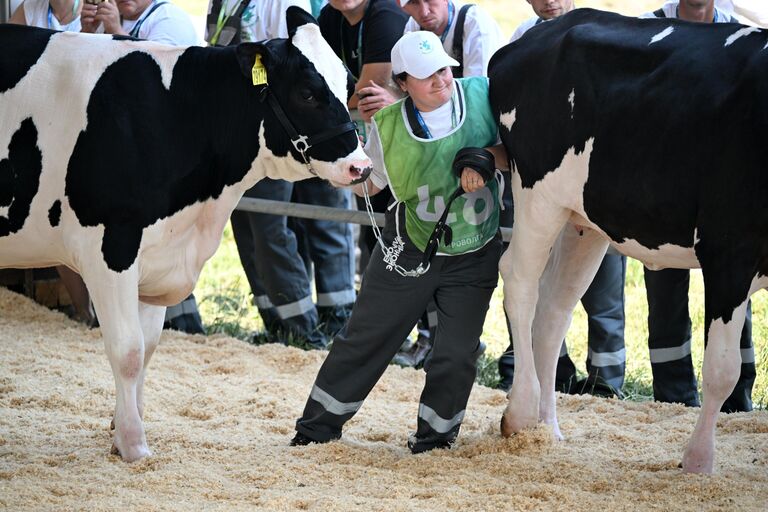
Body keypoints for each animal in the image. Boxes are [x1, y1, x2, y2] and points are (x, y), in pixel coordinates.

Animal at [0, 7, 370, 464]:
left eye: (347, 83)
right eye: (306, 93)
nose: (362, 167)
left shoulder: (156, 256)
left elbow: (148, 347)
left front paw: (122, 432)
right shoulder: (110, 247)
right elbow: (128, 350)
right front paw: (135, 446)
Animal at [488, 8, 764, 474]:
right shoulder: (728, 248)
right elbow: (721, 369)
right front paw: (698, 461)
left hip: (582, 221)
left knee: (554, 310)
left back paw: (548, 429)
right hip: (537, 192)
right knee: (520, 280)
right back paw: (522, 413)